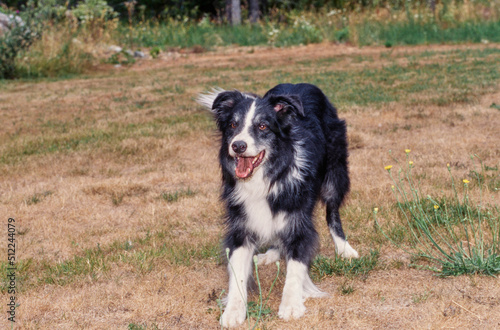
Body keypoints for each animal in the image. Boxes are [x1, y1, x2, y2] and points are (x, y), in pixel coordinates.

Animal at [197, 83, 358, 328]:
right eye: (233, 125)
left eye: (263, 126)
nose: (238, 146)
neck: (267, 177)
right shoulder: (241, 225)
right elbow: (237, 271)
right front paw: (233, 311)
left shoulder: (298, 221)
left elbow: (295, 266)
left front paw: (291, 305)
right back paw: (271, 253)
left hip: (335, 171)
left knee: (332, 212)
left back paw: (344, 248)